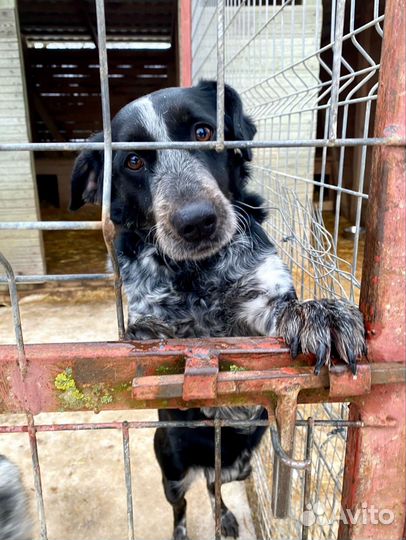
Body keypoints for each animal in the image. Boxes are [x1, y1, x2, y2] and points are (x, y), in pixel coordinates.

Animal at [70, 81, 368, 540]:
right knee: (184, 501)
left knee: (215, 486)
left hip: (238, 469)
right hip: (171, 465)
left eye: (203, 132)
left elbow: (284, 312)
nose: (196, 221)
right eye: (133, 161)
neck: (198, 273)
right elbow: (150, 335)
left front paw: (324, 314)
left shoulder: (262, 304)